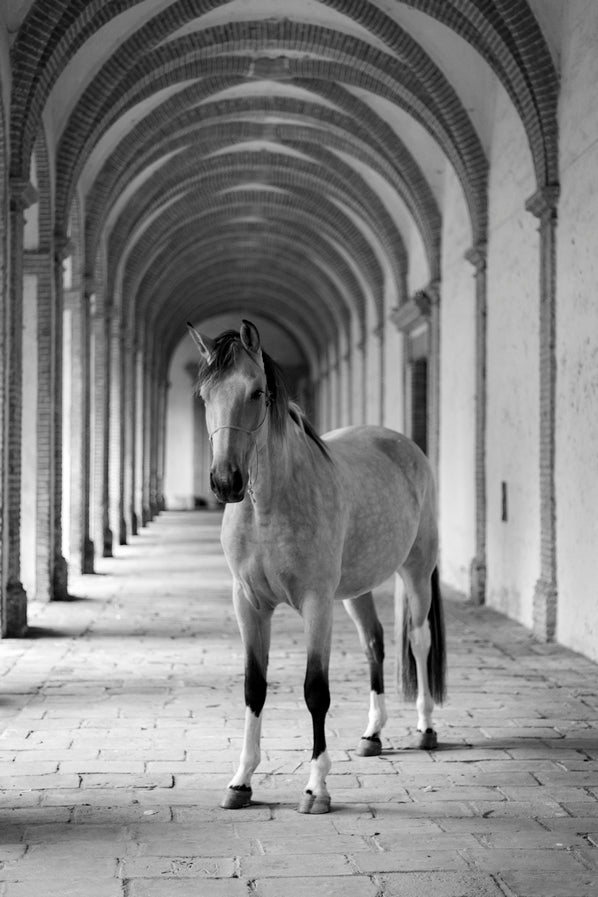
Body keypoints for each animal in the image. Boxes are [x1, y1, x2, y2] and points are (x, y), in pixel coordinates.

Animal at [187, 319, 446, 814]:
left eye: (256, 392)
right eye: (204, 394)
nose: (226, 481)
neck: (267, 507)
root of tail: (405, 445)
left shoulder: (316, 604)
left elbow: (315, 691)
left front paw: (316, 788)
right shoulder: (248, 604)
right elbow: (254, 686)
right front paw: (241, 781)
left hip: (416, 571)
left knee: (418, 640)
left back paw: (425, 728)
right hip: (357, 589)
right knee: (374, 643)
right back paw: (372, 734)